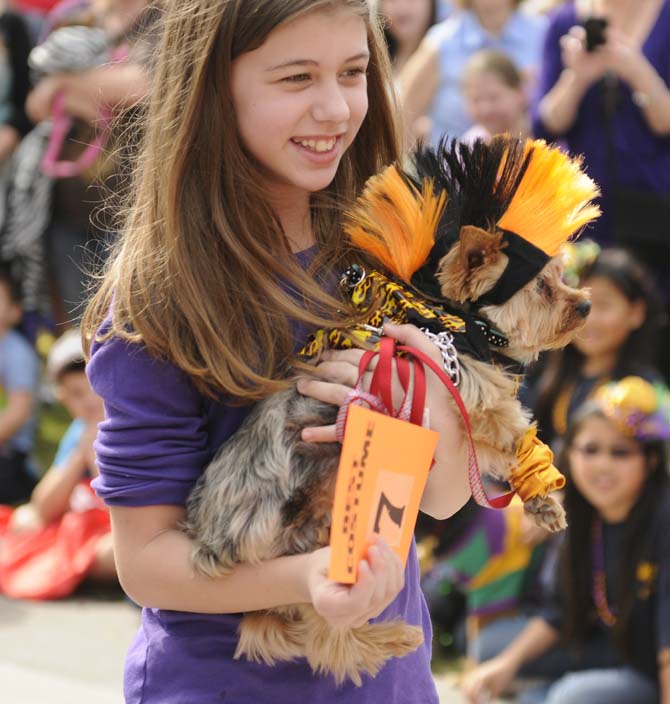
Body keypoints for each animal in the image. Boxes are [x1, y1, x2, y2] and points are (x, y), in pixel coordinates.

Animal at [181, 138, 600, 688]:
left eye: (563, 278)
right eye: (545, 290)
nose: (586, 306)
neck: (459, 326)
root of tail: (208, 543)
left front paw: (540, 498)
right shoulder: (475, 400)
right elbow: (515, 436)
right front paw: (541, 486)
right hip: (317, 532)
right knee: (322, 635)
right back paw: (388, 640)